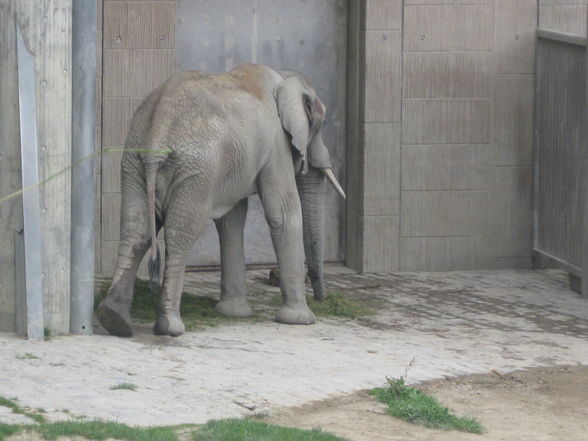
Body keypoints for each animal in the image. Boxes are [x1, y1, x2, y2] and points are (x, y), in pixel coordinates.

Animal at [96, 62, 344, 336]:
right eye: (319, 124)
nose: (322, 298)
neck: (284, 76)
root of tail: (158, 127)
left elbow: (230, 219)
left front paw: (233, 313)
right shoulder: (276, 144)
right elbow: (283, 212)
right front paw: (301, 320)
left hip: (134, 162)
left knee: (136, 230)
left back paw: (114, 319)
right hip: (196, 170)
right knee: (180, 233)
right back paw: (171, 327)